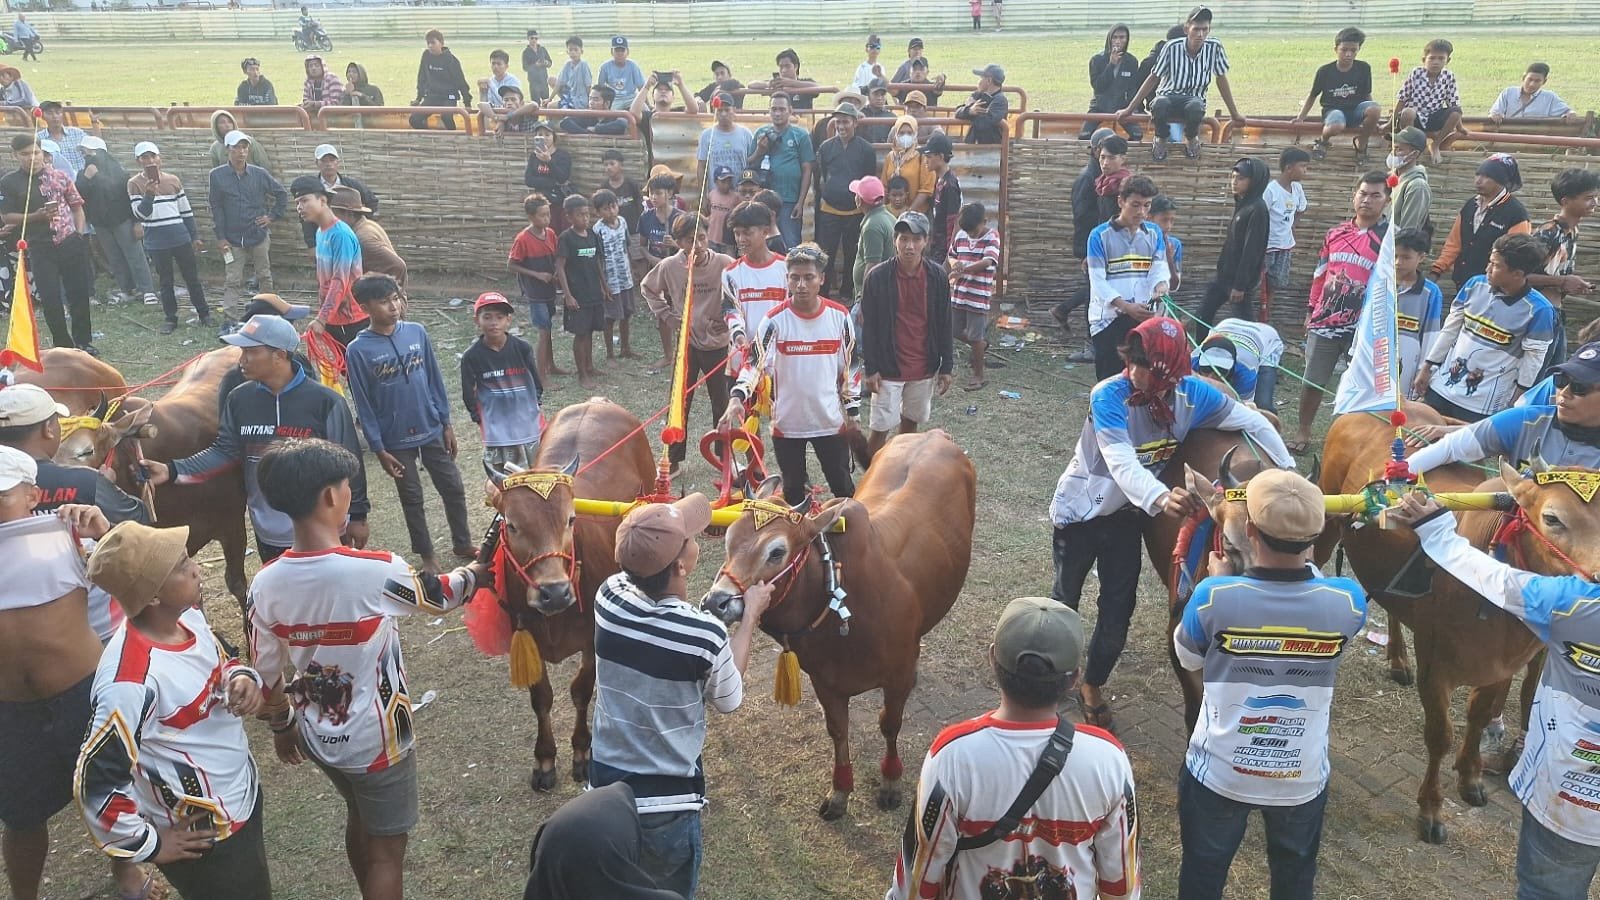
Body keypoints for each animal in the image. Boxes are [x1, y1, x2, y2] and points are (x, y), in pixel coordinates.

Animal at [480, 398, 655, 791]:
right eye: (511, 524)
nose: (555, 593)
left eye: (571, 519)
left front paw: (582, 753)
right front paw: (544, 759)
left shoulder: (591, 637)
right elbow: (541, 697)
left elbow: (581, 690)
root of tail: (597, 401)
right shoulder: (526, 636)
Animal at [702, 430, 977, 819]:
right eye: (728, 539)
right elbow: (838, 731)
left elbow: (889, 723)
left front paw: (890, 781)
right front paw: (839, 791)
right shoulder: (825, 682)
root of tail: (933, 434)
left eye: (777, 551)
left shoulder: (895, 677)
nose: (717, 601)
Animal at [1318, 403, 1549, 844]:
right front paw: (1430, 810)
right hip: (1323, 521)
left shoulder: (1501, 668)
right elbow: (1440, 735)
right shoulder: (1436, 665)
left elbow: (1480, 715)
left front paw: (1471, 778)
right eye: (1552, 519)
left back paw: (1396, 658)